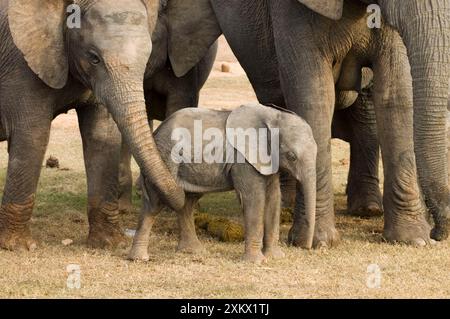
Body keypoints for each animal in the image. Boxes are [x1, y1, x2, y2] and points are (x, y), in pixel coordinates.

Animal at [0, 0, 220, 250]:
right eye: (94, 57)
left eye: (147, 58)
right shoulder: (24, 64)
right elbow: (33, 135)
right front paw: (19, 246)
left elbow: (103, 136)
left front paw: (111, 243)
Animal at [128, 104, 318, 264]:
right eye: (292, 156)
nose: (306, 246)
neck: (274, 115)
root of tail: (157, 132)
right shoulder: (243, 159)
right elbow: (254, 198)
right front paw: (256, 262)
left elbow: (274, 198)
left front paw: (275, 257)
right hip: (166, 157)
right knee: (155, 203)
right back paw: (139, 259)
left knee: (187, 203)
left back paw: (193, 251)